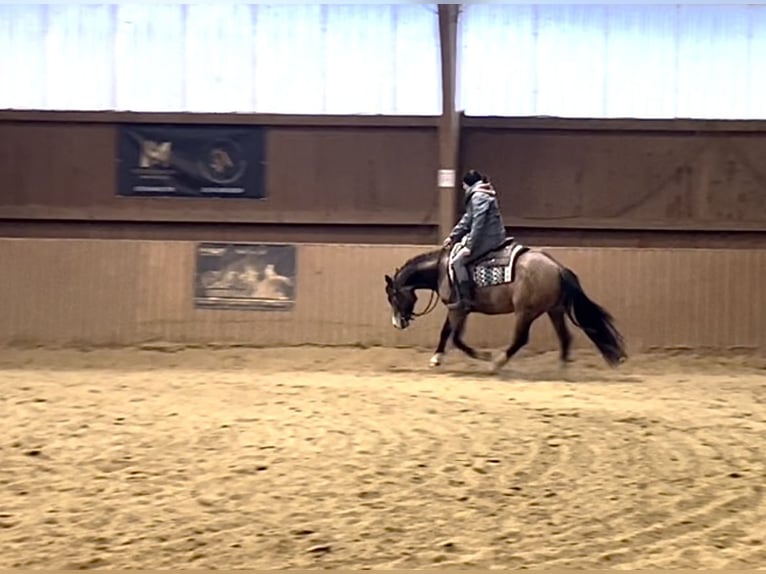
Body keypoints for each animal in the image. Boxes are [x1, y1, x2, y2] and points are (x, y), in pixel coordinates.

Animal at [383, 237, 627, 373]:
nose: (397, 324)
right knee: (565, 338)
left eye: (393, 297)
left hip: (525, 312)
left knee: (521, 339)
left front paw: (438, 359)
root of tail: (557, 267)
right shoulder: (462, 310)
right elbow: (456, 337)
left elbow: (448, 335)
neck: (443, 269)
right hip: (554, 310)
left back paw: (498, 363)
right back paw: (562, 369)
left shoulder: (457, 309)